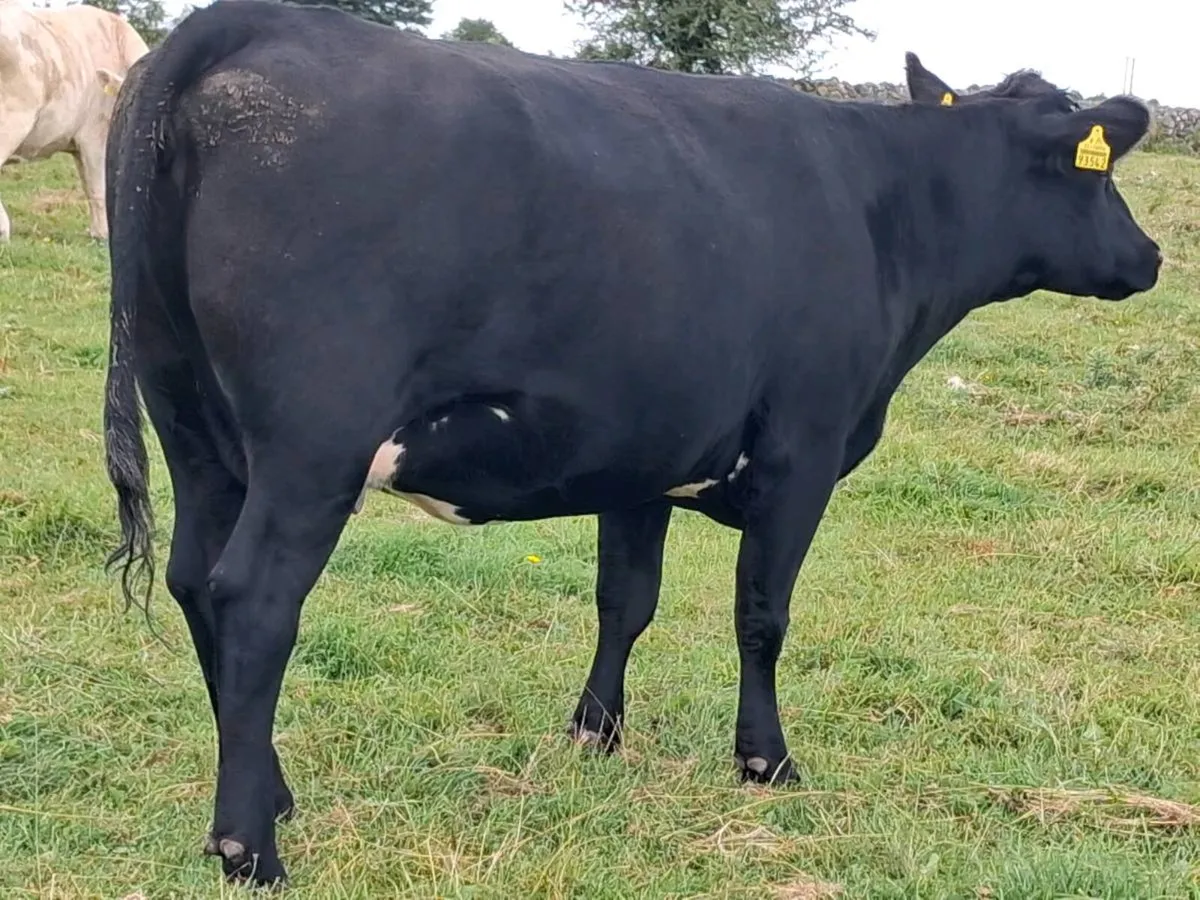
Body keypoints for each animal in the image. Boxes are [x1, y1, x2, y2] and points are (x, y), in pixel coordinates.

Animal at [101, 0, 1161, 886]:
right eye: (1100, 172)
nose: (1151, 257)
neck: (886, 209)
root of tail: (257, 21)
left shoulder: (641, 458)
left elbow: (626, 601)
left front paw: (596, 735)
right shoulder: (804, 449)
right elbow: (762, 616)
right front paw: (766, 760)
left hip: (193, 423)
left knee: (193, 579)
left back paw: (272, 790)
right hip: (312, 447)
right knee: (254, 601)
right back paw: (250, 847)